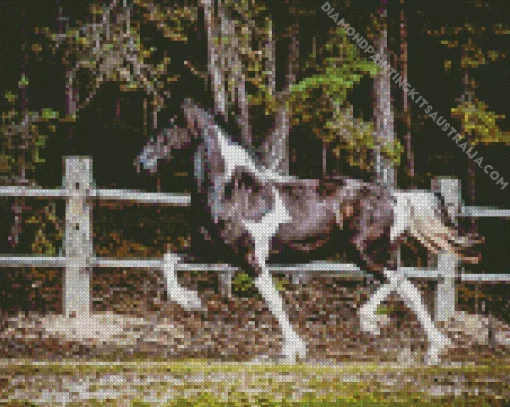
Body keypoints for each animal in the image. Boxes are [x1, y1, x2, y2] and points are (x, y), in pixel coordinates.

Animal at [133, 100, 480, 364]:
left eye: (169, 126)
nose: (140, 163)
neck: (233, 190)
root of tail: (395, 196)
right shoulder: (211, 251)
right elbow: (167, 260)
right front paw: (190, 300)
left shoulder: (250, 258)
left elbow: (274, 301)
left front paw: (293, 350)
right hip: (374, 254)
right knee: (400, 282)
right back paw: (386, 329)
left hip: (366, 253)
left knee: (405, 287)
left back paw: (424, 345)